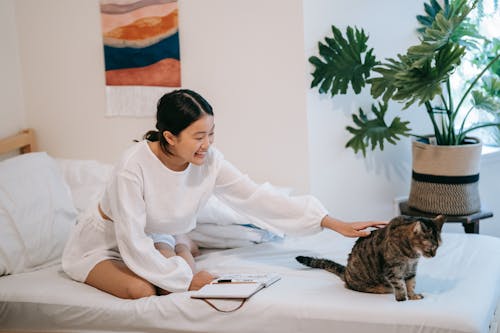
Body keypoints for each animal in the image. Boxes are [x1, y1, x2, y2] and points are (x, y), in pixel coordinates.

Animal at [294, 214, 444, 300]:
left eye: (438, 247)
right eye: (431, 248)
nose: (434, 255)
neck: (411, 255)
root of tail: (346, 273)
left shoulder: (411, 267)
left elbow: (411, 283)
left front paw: (413, 296)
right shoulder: (392, 269)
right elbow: (400, 284)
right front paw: (402, 298)